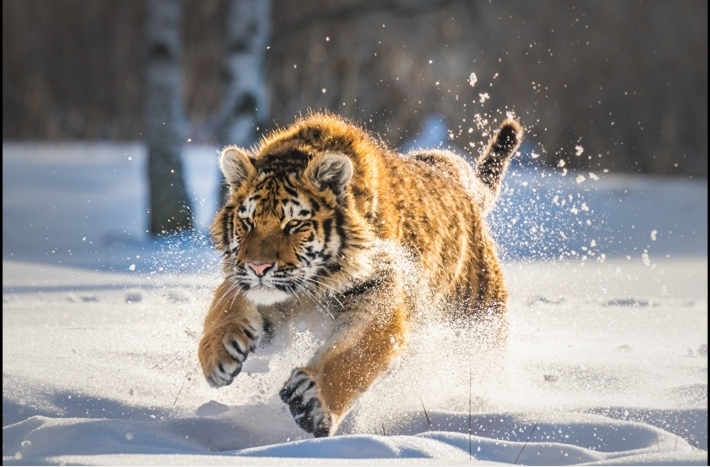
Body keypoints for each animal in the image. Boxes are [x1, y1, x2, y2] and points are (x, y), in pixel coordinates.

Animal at [198, 112, 523, 437]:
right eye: (247, 222)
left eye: (293, 224)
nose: (258, 267)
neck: (311, 287)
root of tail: (459, 180)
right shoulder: (252, 285)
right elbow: (224, 307)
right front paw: (217, 354)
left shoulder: (378, 299)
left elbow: (353, 356)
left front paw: (312, 402)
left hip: (478, 322)